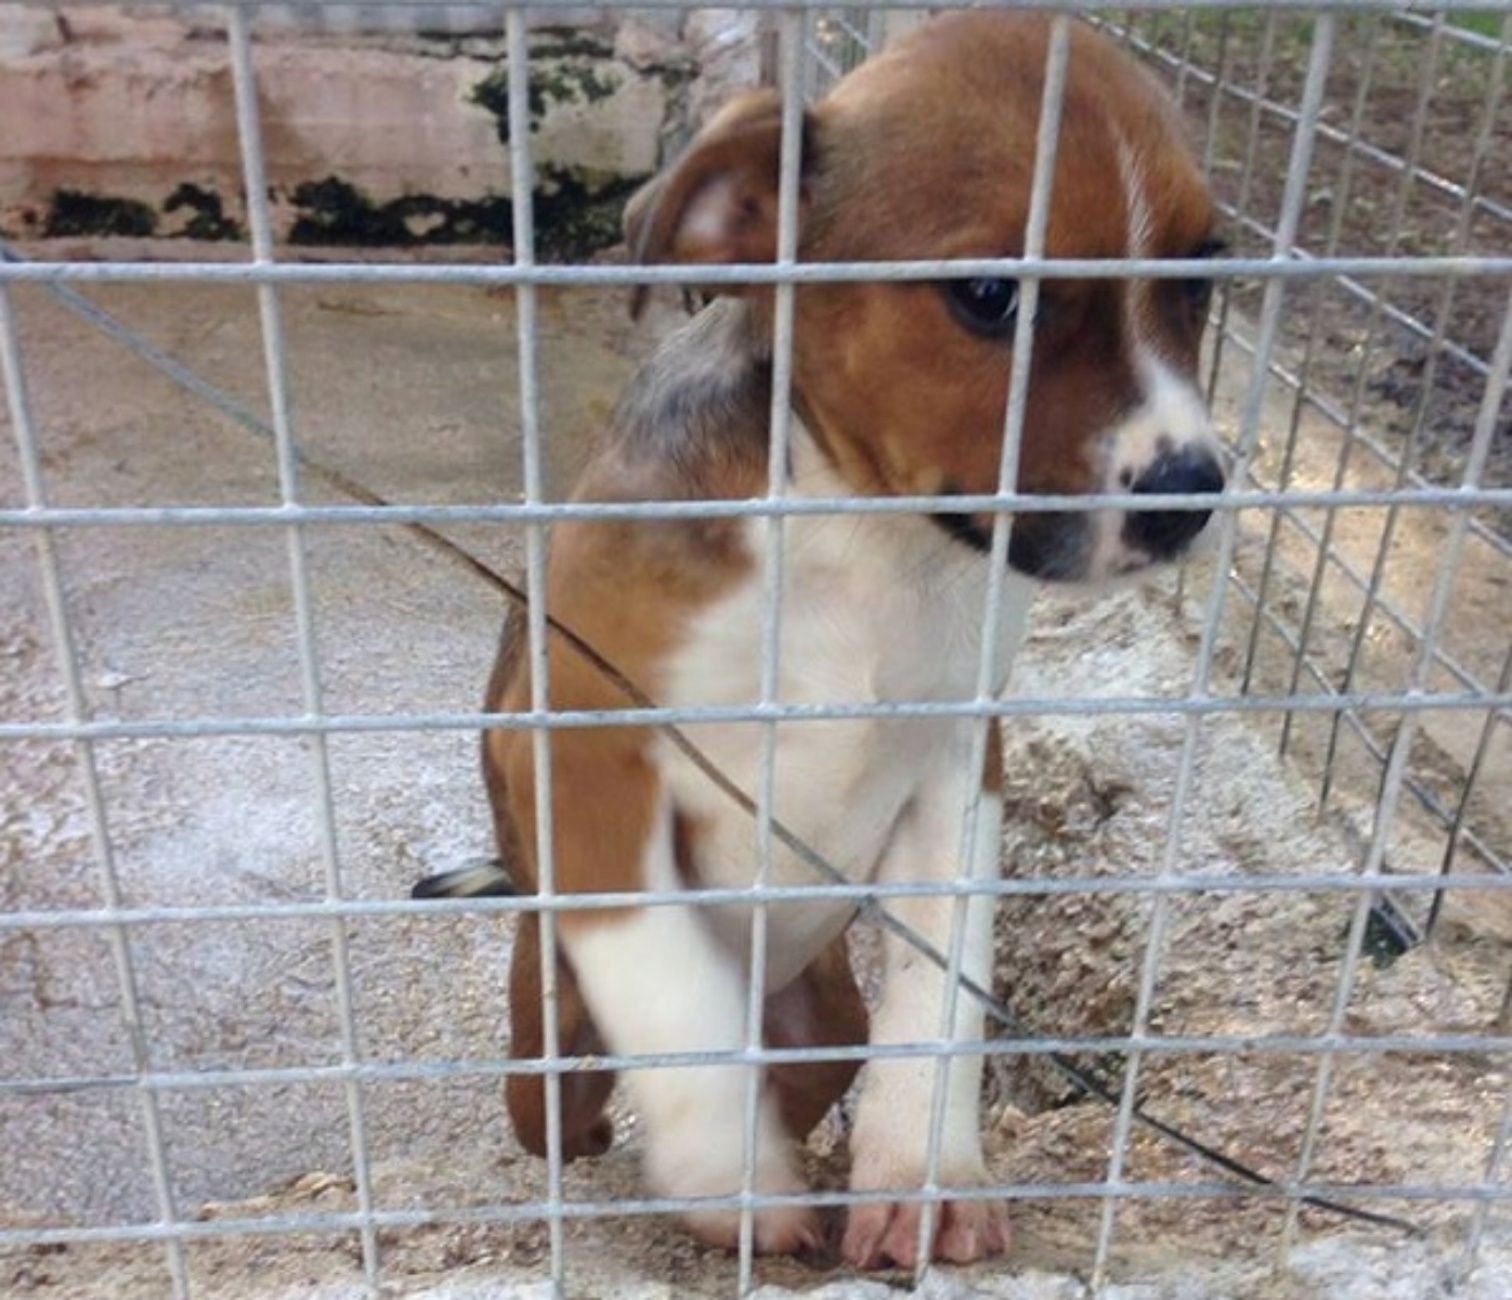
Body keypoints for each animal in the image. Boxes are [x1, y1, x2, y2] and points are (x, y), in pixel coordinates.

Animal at [456, 10, 1215, 1269]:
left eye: (1202, 278)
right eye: (989, 295)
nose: (1189, 492)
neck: (866, 541)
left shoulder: (959, 764)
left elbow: (937, 989)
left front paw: (919, 1171)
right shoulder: (584, 747)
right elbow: (670, 984)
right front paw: (733, 1174)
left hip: (820, 1003)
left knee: (821, 1051)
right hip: (546, 1020)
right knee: (560, 1095)